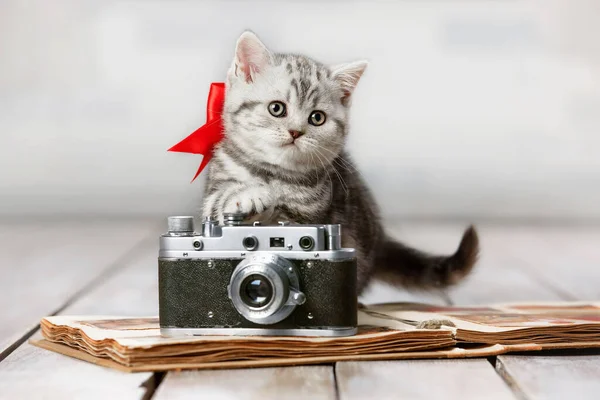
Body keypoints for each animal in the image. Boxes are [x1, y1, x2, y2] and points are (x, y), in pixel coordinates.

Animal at [202, 30, 478, 294]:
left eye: (317, 118)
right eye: (277, 108)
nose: (295, 132)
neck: (274, 173)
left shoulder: (310, 216)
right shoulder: (215, 191)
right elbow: (220, 200)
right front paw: (248, 196)